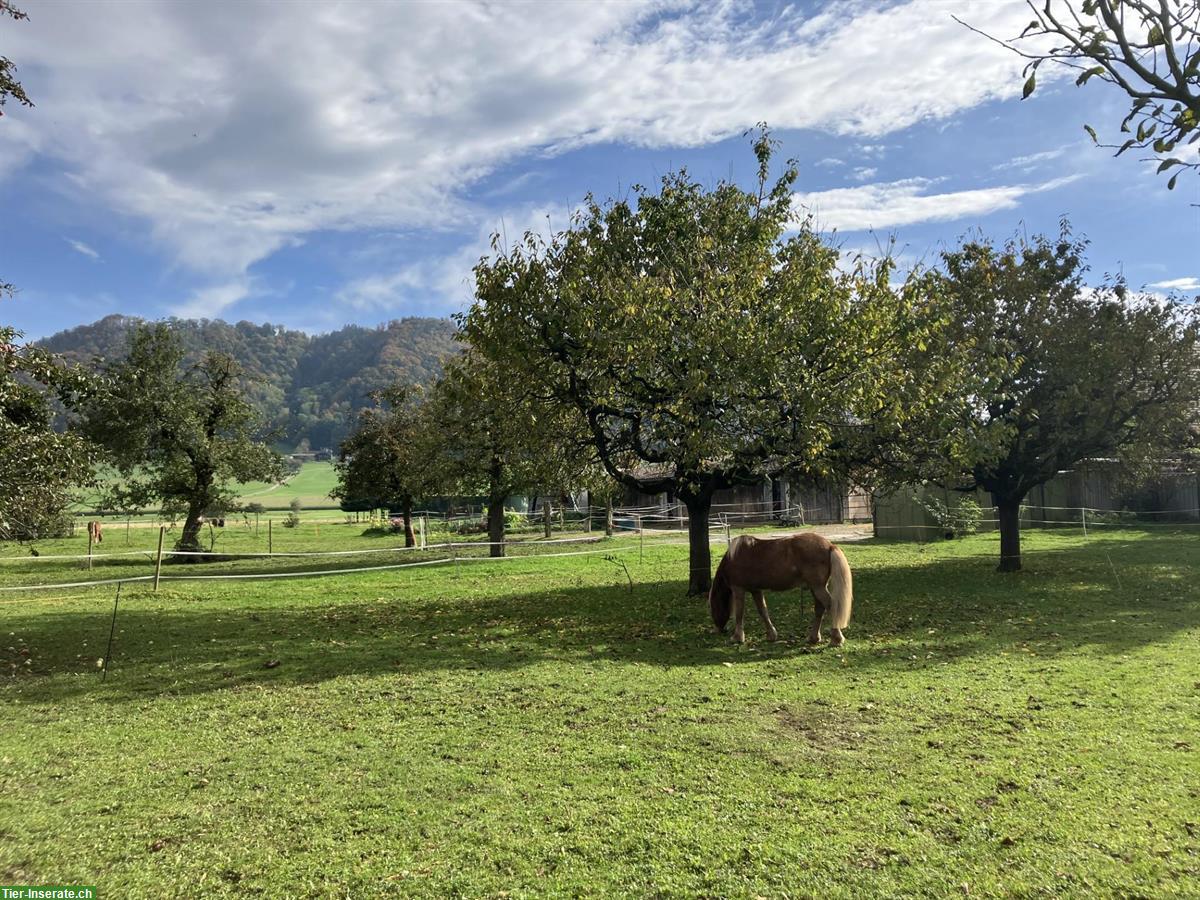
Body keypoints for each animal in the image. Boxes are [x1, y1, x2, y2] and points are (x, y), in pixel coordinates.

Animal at [710, 535, 854, 648]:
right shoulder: (756, 590)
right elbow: (763, 611)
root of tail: (830, 545)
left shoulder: (738, 589)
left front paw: (737, 637)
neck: (734, 557)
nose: (717, 629)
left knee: (830, 606)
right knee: (819, 610)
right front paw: (771, 635)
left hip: (818, 588)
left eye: (713, 608)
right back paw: (814, 638)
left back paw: (836, 639)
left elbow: (739, 613)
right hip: (816, 588)